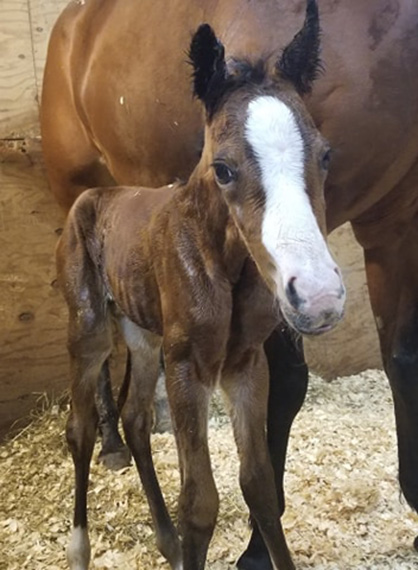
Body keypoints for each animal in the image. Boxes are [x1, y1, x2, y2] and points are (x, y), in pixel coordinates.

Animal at [42, 0, 418, 564]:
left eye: (326, 155)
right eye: (222, 168)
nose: (321, 297)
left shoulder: (393, 219)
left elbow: (399, 358)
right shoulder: (196, 362)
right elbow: (209, 493)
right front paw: (254, 551)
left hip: (142, 327)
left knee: (136, 414)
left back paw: (159, 526)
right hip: (80, 253)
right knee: (82, 414)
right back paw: (98, 478)